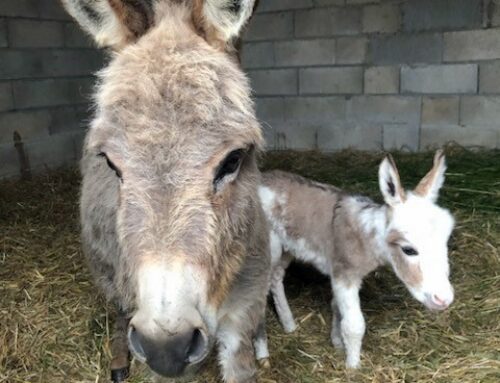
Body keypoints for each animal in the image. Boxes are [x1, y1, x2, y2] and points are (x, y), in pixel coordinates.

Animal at [260, 151, 456, 368]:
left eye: (445, 241)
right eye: (408, 250)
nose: (443, 299)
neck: (366, 235)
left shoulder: (339, 275)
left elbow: (337, 307)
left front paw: (337, 343)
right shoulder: (345, 274)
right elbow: (354, 325)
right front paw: (353, 366)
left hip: (287, 248)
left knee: (276, 278)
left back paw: (289, 325)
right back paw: (262, 354)